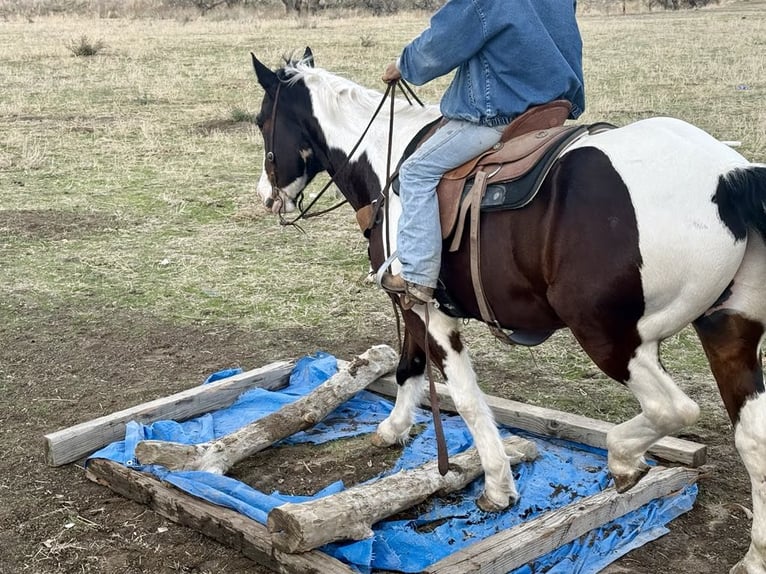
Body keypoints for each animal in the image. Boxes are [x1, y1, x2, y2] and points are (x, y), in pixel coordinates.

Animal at [250, 49, 766, 574]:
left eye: (261, 121)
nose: (265, 196)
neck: (388, 164)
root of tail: (728, 177)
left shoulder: (429, 311)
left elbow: (464, 396)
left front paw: (498, 486)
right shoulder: (411, 300)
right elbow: (409, 366)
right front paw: (394, 429)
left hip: (610, 336)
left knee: (673, 408)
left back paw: (623, 458)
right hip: (727, 333)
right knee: (754, 440)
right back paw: (753, 556)